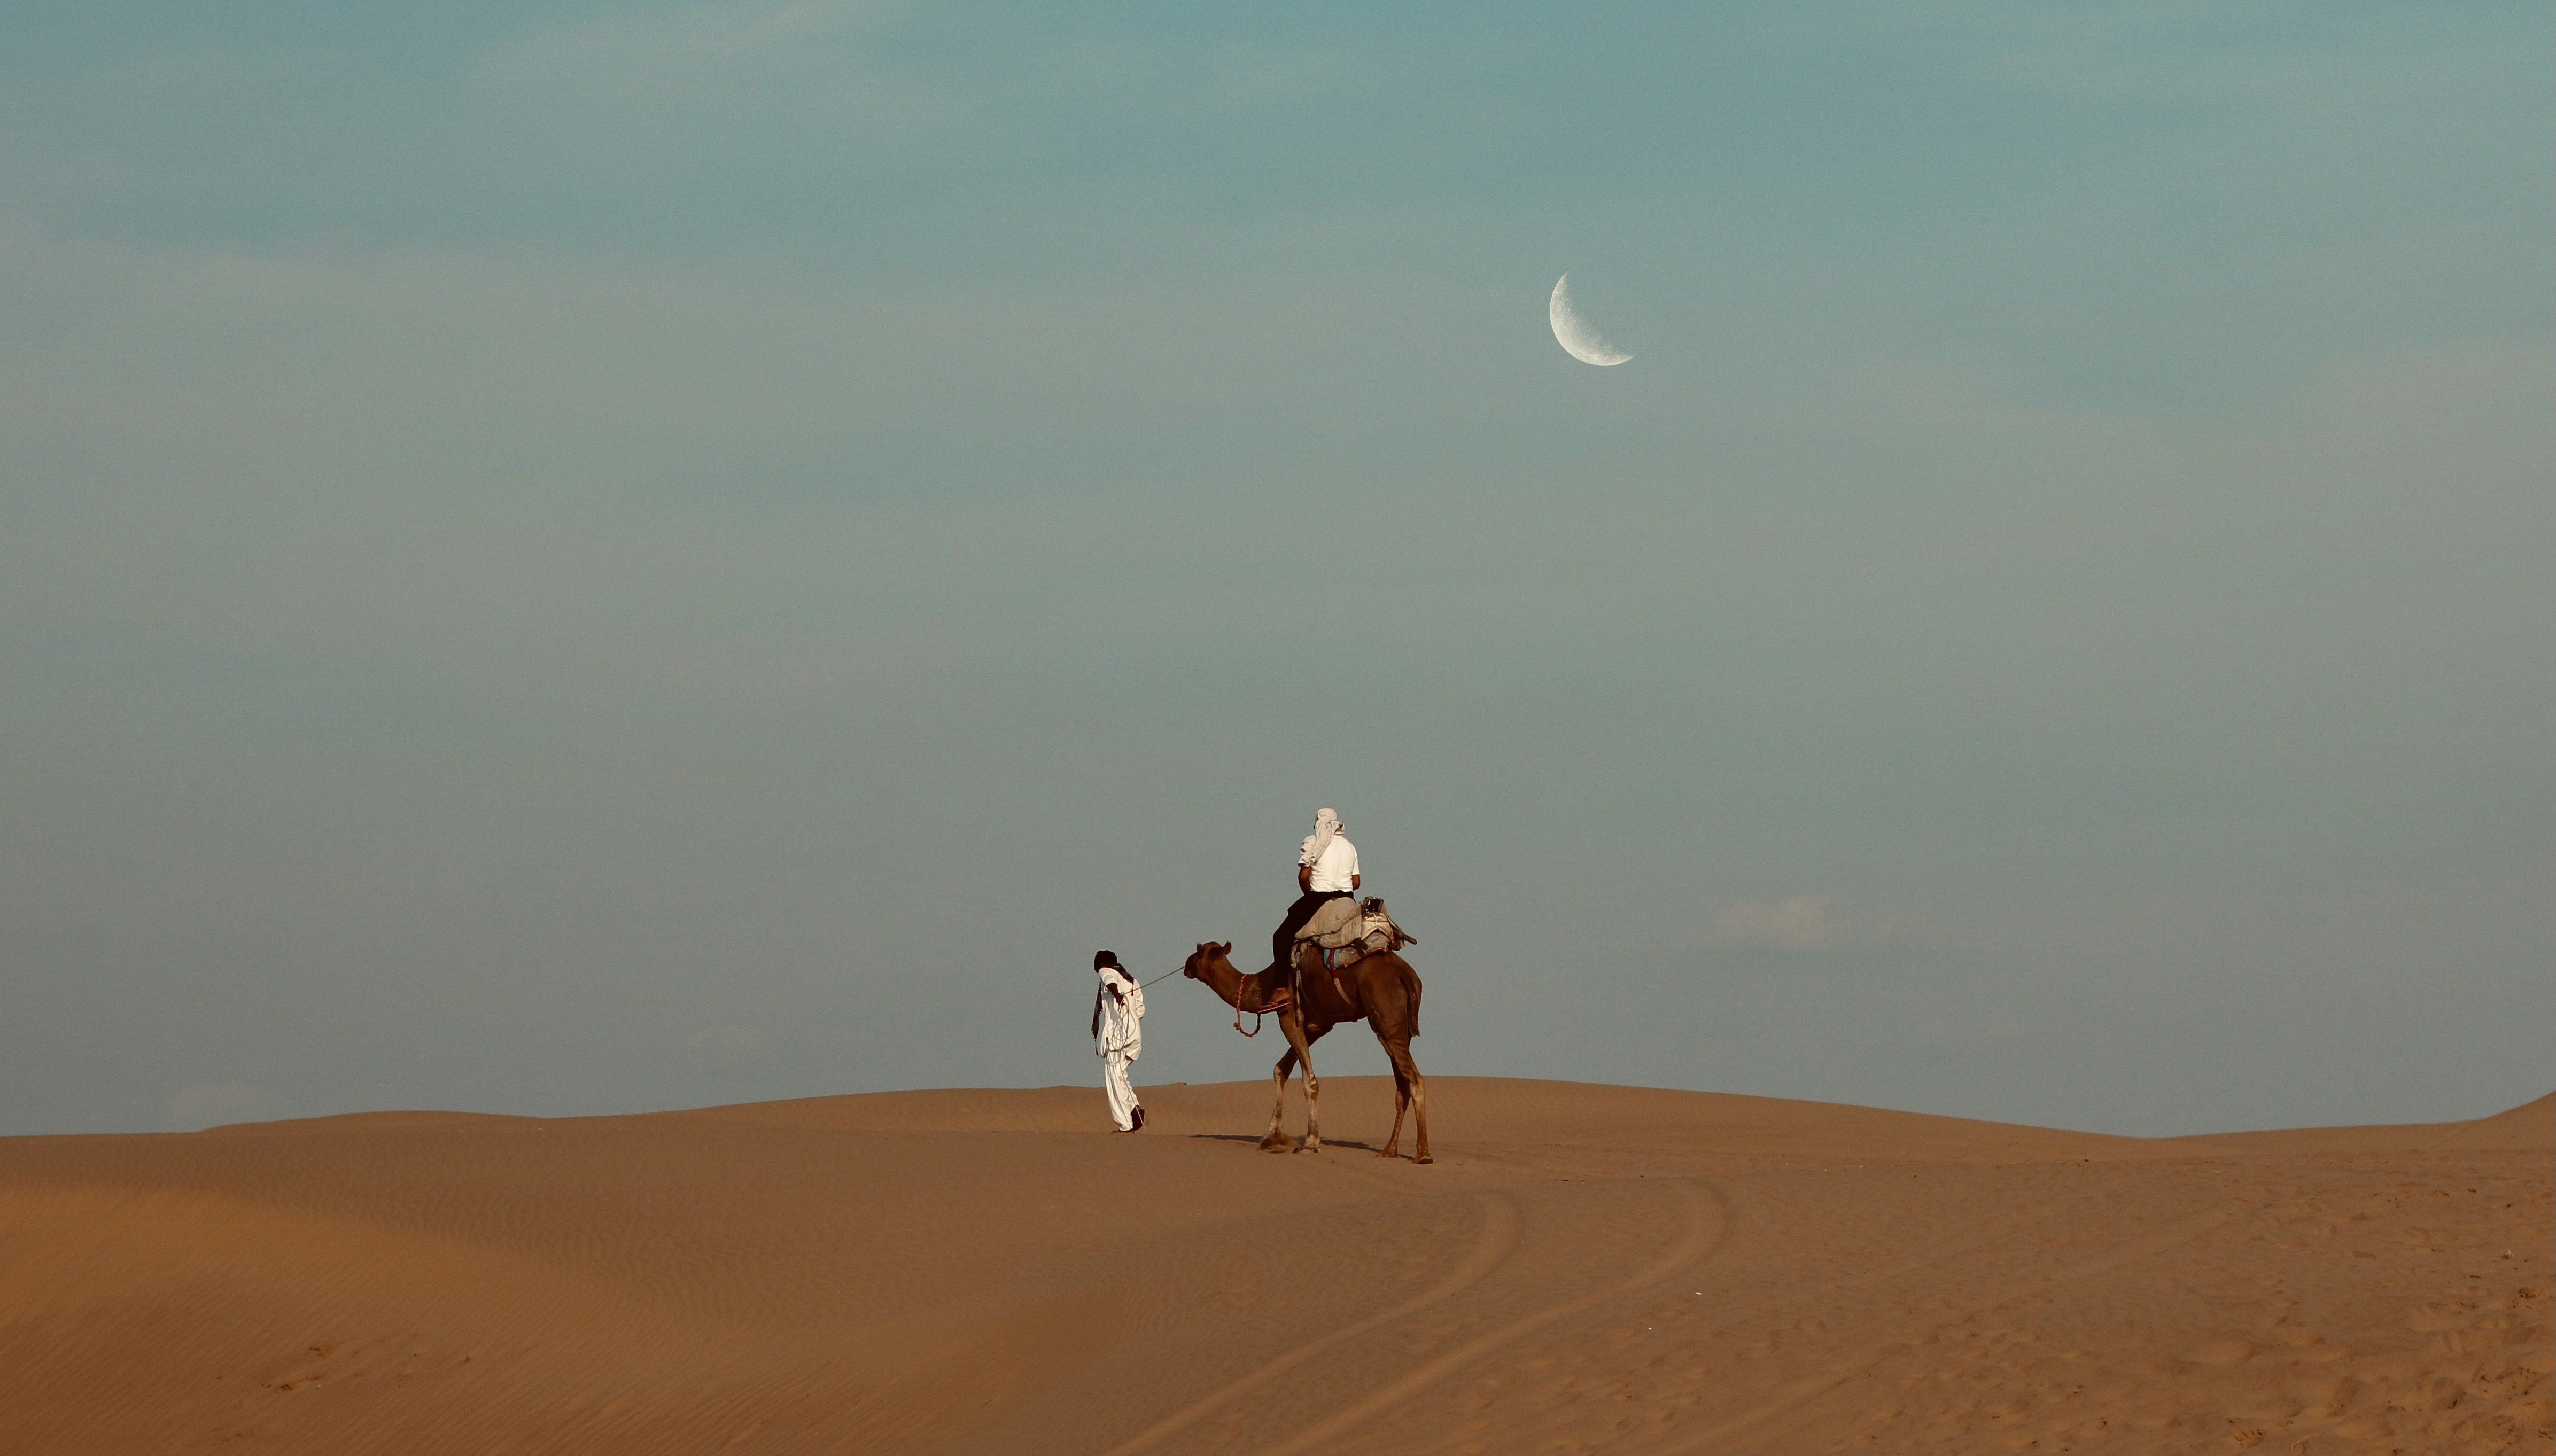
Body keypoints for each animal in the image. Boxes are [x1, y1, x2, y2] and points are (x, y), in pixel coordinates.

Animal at [1180, 939, 1430, 1164]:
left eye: (1198, 952)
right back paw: (1390, 1150)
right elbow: (1281, 1069)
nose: (1186, 966)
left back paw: (1423, 1154)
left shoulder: (1288, 1014)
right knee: (1402, 1086)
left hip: (1385, 1019)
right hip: (1398, 1030)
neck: (1264, 984)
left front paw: (1310, 1143)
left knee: (1415, 1080)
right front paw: (1273, 1137)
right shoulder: (1318, 1026)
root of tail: (1406, 975)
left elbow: (1309, 1082)